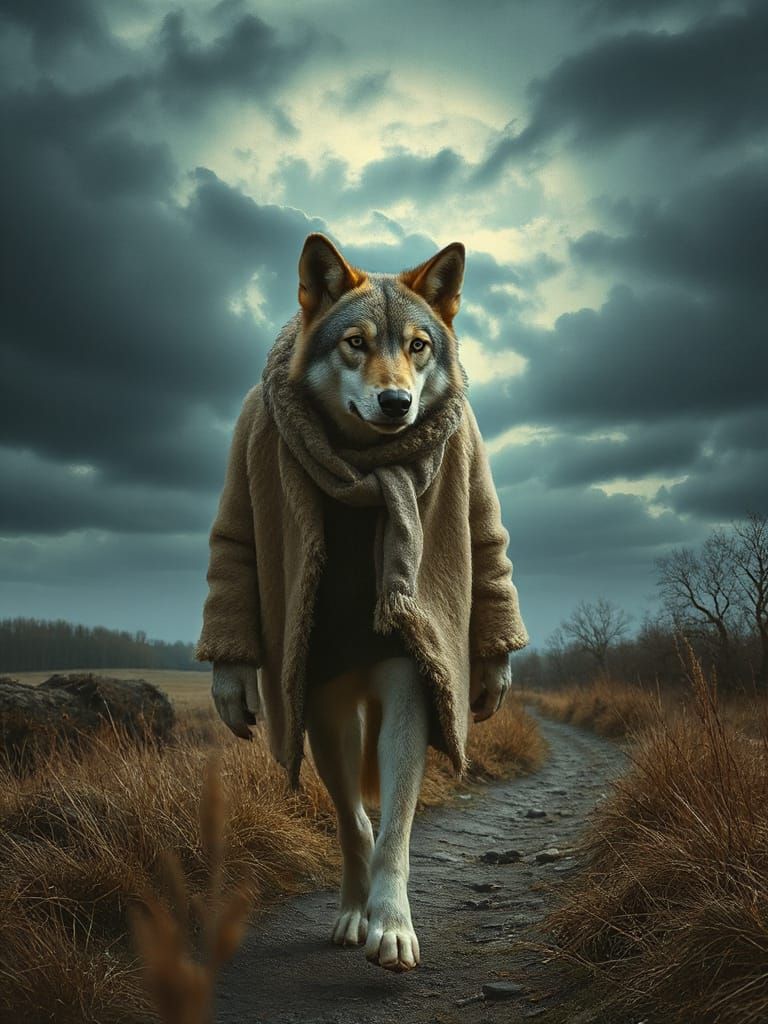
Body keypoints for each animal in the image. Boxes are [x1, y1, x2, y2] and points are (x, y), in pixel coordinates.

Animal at [206, 233, 527, 973]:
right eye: (355, 343)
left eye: (417, 346)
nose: (396, 402)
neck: (364, 465)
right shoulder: (316, 695)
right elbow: (357, 824)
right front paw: (362, 914)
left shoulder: (412, 670)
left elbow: (395, 828)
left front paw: (394, 924)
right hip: (326, 699)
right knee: (349, 805)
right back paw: (350, 909)